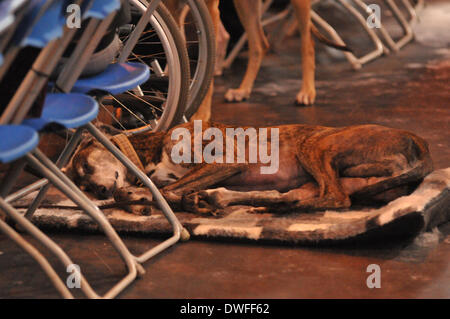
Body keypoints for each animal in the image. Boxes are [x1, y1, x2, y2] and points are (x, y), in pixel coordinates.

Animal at [63, 121, 432, 216]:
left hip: (315, 147)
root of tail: (419, 140)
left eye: (86, 166)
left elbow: (166, 189)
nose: (98, 190)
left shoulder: (228, 159)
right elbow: (166, 189)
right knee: (294, 197)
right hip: (310, 179)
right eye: (82, 186)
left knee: (336, 199)